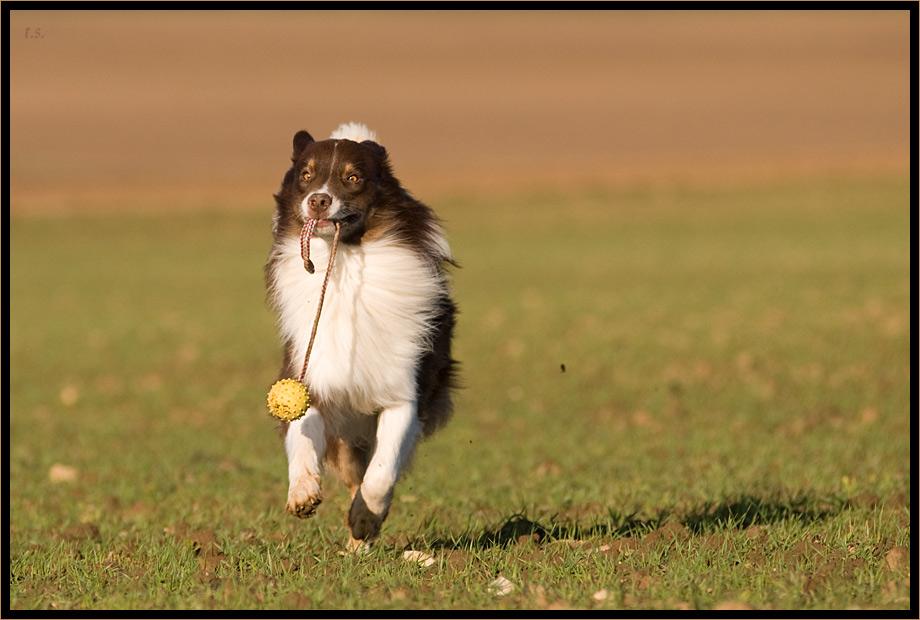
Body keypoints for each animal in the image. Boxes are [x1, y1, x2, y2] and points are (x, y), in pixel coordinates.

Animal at [264, 123, 458, 548]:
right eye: (306, 175)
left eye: (353, 178)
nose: (319, 201)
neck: (344, 266)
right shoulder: (311, 376)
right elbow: (300, 440)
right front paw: (302, 493)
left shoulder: (404, 396)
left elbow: (382, 472)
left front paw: (366, 519)